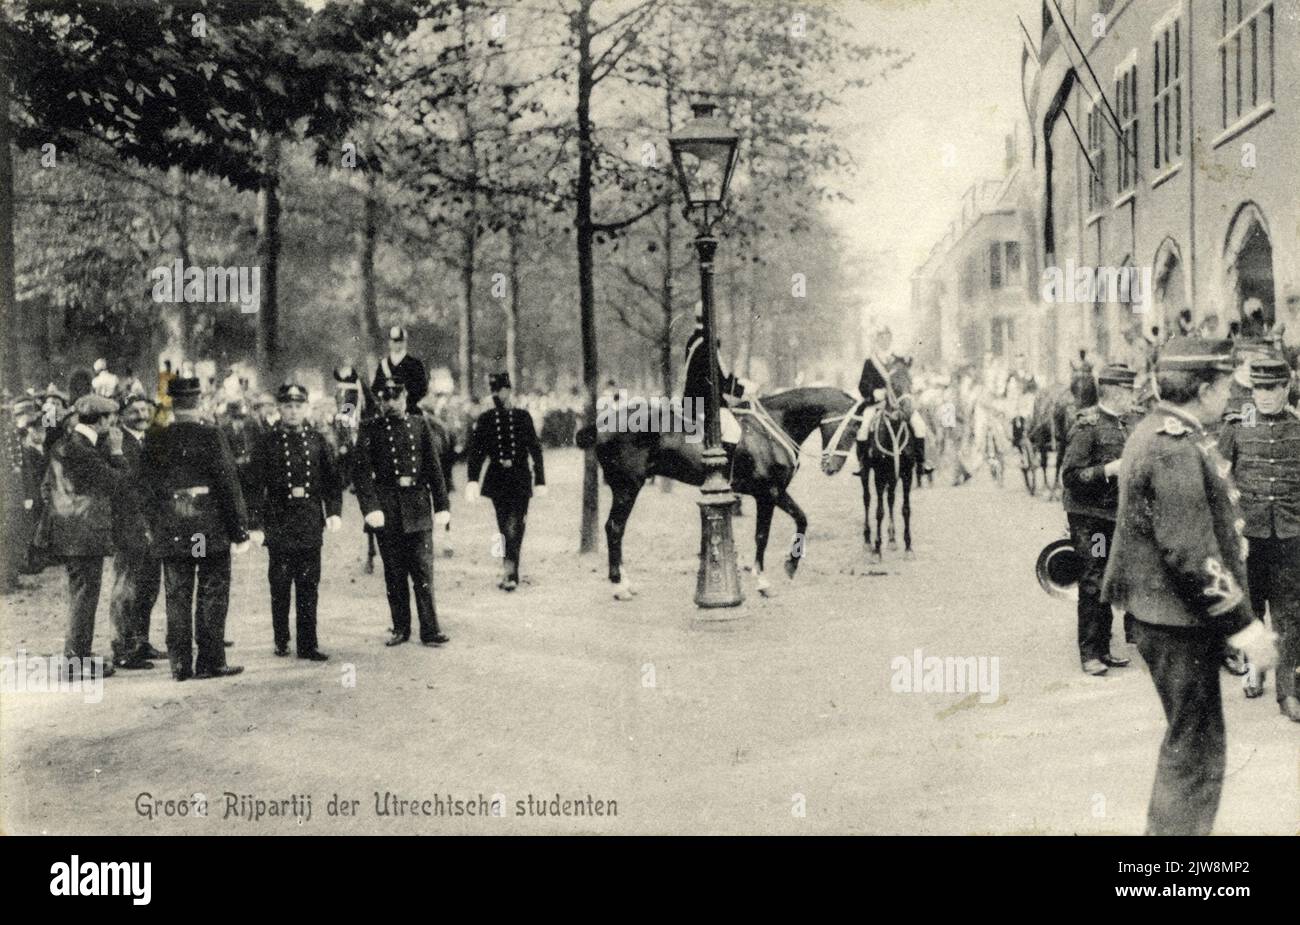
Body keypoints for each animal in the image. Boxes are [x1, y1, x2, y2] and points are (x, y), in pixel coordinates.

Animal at [574, 387, 857, 595]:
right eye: (854, 427)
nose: (831, 467)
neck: (770, 428)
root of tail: (603, 423)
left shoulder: (772, 494)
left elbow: (799, 520)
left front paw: (788, 565)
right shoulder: (769, 493)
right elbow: (766, 534)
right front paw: (767, 579)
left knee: (616, 529)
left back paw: (624, 580)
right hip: (627, 487)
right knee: (614, 527)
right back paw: (619, 585)